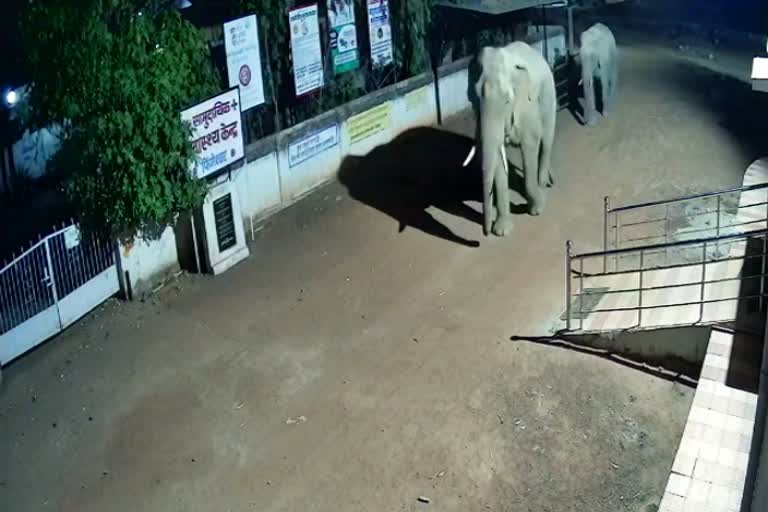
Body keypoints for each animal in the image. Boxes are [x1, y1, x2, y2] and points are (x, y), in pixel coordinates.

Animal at [462, 42, 560, 238]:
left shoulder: (527, 104)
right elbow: (499, 160)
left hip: (548, 94)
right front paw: (502, 231)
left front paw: (536, 209)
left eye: (507, 101)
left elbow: (531, 143)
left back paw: (543, 185)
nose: (485, 234)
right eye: (472, 100)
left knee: (546, 140)